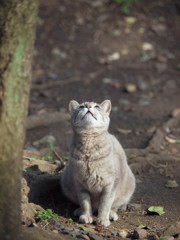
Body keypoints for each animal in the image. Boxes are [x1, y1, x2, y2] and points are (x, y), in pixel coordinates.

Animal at [60, 99, 135, 227]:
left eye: (97, 106)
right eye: (81, 106)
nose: (88, 106)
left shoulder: (110, 186)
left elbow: (105, 204)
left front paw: (103, 219)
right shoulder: (80, 185)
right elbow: (85, 203)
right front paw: (86, 216)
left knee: (116, 205)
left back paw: (111, 214)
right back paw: (79, 211)